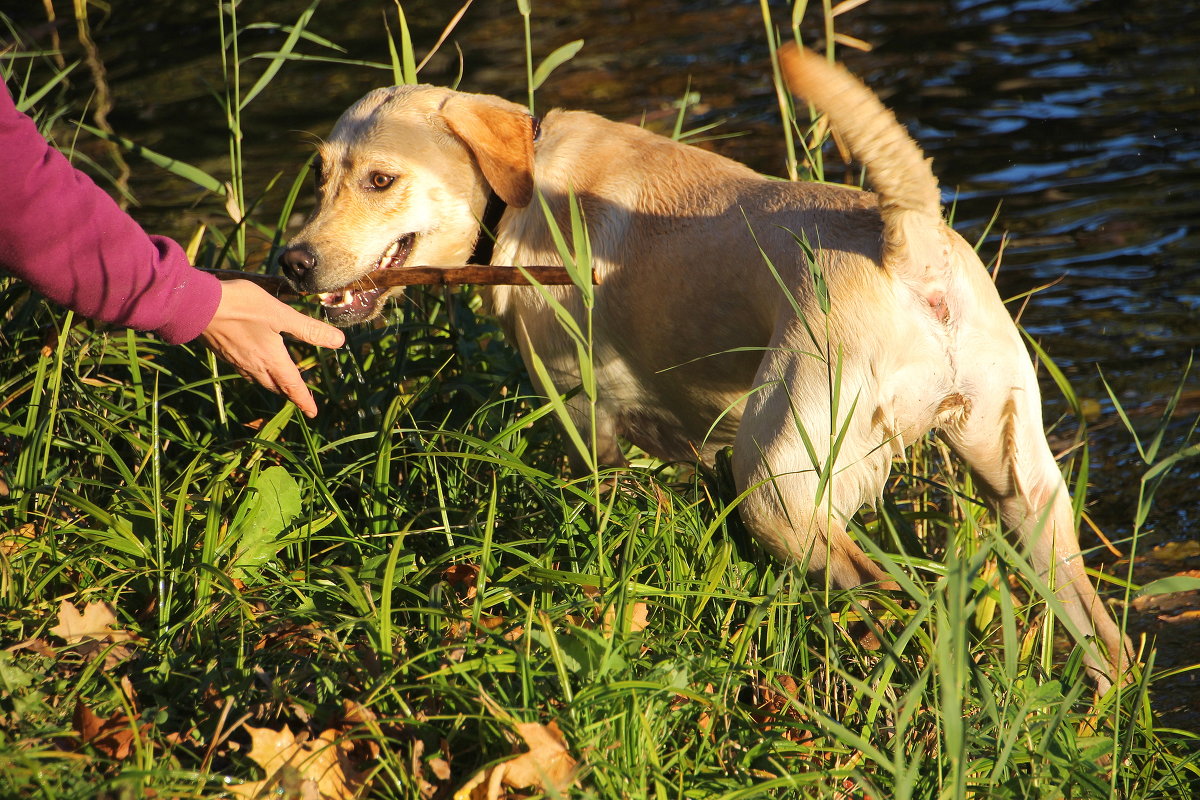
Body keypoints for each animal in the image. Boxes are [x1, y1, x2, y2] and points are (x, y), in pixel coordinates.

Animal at [283, 43, 1132, 690]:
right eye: (320, 176)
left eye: (381, 180)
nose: (290, 263)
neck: (516, 192)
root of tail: (906, 242)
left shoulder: (587, 422)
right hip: (1022, 488)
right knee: (1107, 643)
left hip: (777, 486)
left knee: (886, 595)